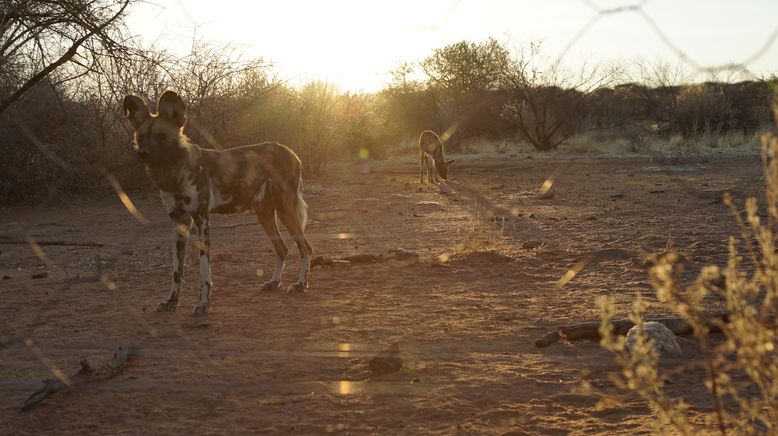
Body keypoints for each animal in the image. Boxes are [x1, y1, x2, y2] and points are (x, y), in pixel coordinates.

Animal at [123, 90, 310, 316]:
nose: (142, 153)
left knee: (306, 248)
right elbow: (176, 271)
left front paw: (204, 304)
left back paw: (300, 285)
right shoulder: (179, 223)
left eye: (161, 136)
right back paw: (274, 283)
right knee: (282, 248)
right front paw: (172, 302)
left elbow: (205, 271)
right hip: (265, 214)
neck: (174, 172)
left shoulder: (201, 219)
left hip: (285, 210)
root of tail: (292, 153)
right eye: (141, 137)